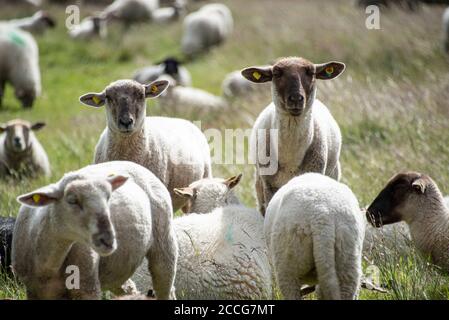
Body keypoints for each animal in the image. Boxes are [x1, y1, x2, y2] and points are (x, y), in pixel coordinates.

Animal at [12, 162, 178, 300]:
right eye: (72, 200)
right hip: (116, 271)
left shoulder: (87, 288)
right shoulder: (34, 291)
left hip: (164, 242)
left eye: (108, 197)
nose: (108, 240)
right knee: (129, 288)